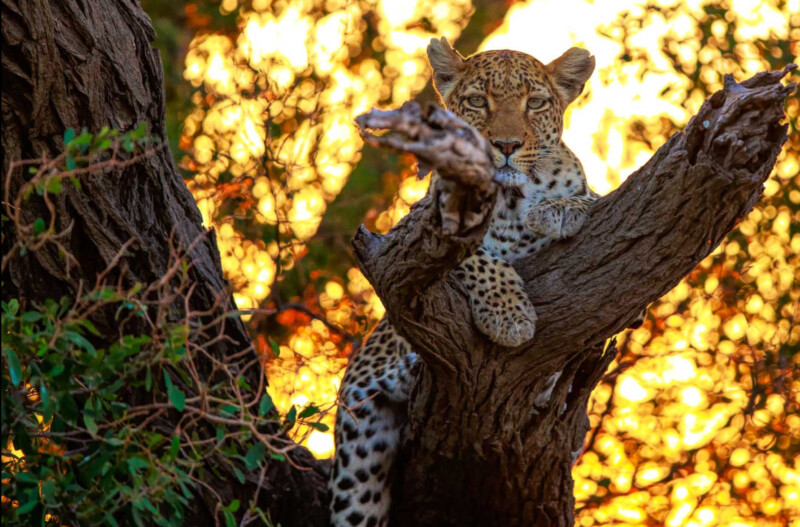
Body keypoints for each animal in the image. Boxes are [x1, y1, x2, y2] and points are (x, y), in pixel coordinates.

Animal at [332, 38, 600, 527]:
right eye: (478, 101)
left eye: (535, 104)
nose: (507, 145)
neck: (511, 199)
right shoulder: (415, 231)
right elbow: (476, 259)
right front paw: (509, 316)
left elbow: (592, 194)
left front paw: (558, 210)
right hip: (359, 450)